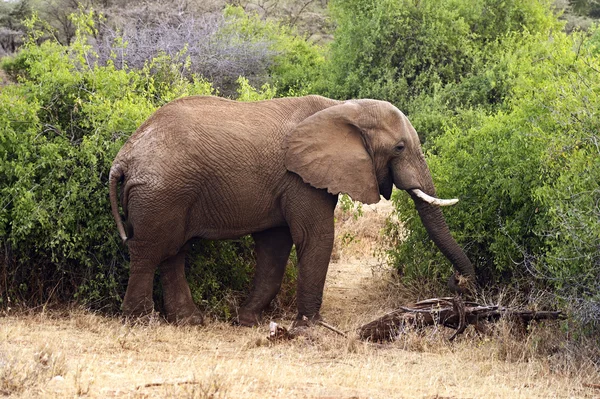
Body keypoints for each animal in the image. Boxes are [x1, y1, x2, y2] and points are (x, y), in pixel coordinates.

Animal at [106, 95, 474, 326]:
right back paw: (141, 321)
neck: (342, 109)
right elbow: (316, 237)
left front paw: (247, 322)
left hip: (169, 194)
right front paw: (310, 326)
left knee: (173, 252)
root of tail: (124, 156)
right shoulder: (300, 178)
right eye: (399, 148)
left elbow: (275, 246)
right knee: (150, 250)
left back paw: (190, 322)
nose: (459, 283)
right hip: (161, 192)